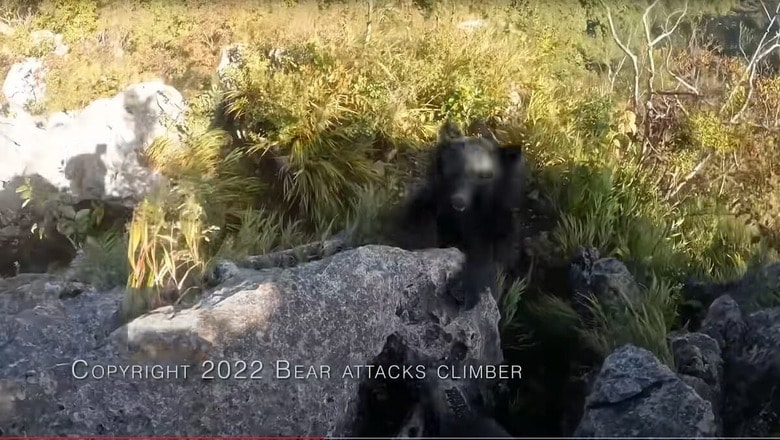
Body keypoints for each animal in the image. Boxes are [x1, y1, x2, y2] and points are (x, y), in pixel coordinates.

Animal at [389, 120, 526, 310]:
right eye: (454, 170)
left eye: (484, 175)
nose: (458, 201)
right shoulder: (433, 201)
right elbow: (415, 225)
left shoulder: (498, 222)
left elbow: (490, 254)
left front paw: (464, 289)